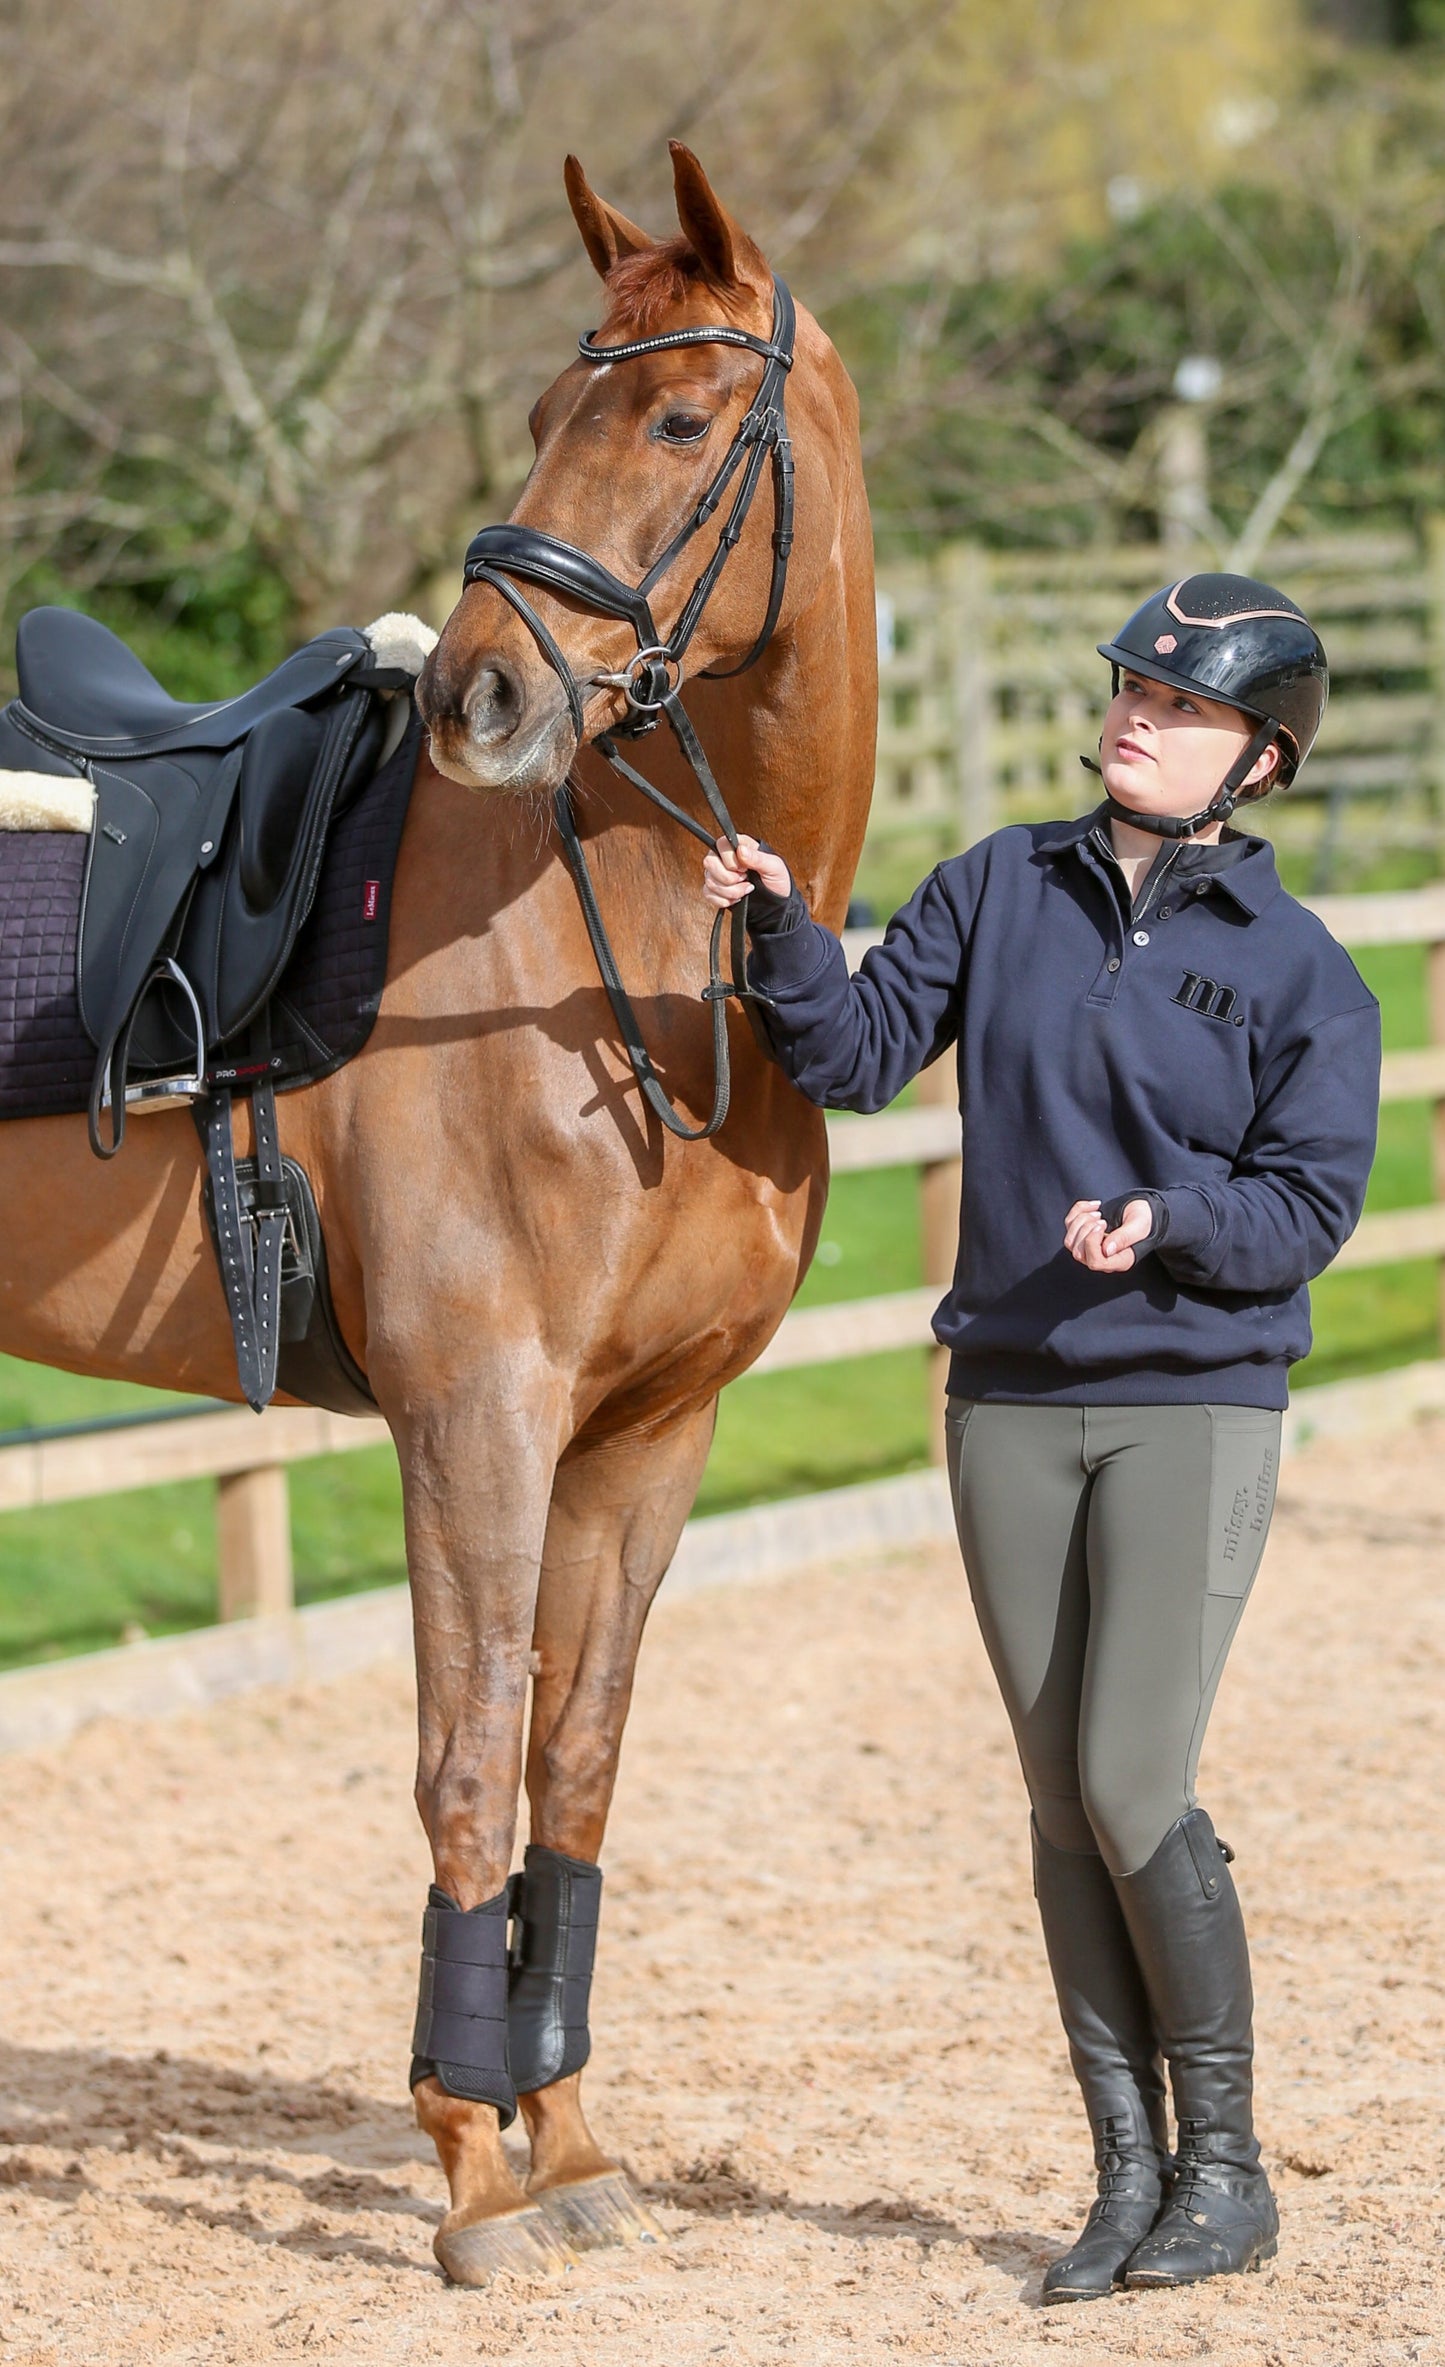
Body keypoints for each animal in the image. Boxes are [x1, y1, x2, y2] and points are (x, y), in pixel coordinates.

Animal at [0, 143, 871, 2272]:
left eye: (680, 417)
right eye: (555, 405)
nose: (485, 692)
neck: (621, 953)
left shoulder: (646, 1435)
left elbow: (573, 1766)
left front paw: (563, 2137)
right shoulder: (476, 1414)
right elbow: (466, 1763)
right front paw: (473, 2167)